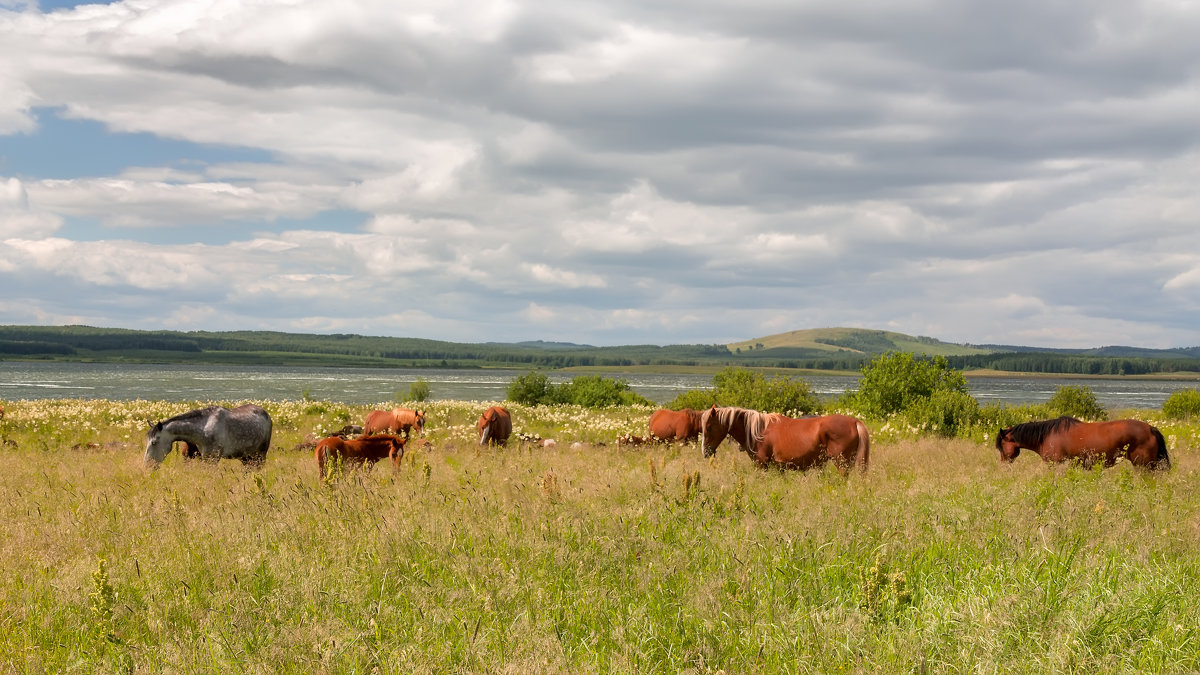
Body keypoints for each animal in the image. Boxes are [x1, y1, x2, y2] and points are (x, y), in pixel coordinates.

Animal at [142, 401, 272, 466]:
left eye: (154, 442)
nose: (147, 464)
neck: (204, 428)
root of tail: (266, 415)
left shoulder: (212, 459)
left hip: (260, 456)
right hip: (246, 457)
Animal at [700, 403, 868, 473]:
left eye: (709, 427)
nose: (705, 452)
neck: (758, 431)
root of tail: (854, 421)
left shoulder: (761, 465)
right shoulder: (780, 468)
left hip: (841, 463)